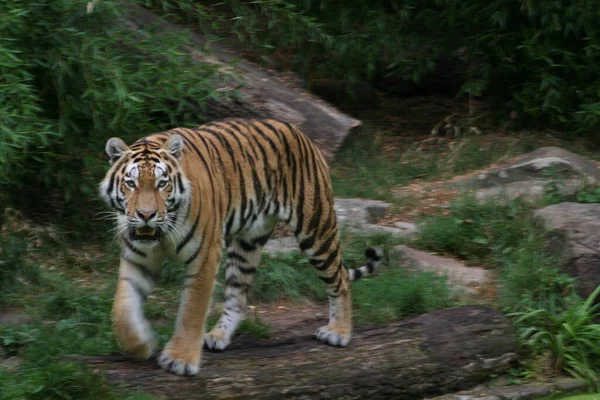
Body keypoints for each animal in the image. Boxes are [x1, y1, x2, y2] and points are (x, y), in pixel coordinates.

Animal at [98, 118, 380, 376]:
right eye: (131, 183)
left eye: (162, 184)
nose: (146, 215)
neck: (160, 233)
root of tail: (300, 132)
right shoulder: (137, 258)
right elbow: (122, 308)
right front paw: (140, 345)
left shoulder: (205, 256)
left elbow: (192, 310)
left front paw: (180, 359)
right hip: (247, 244)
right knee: (238, 296)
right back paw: (218, 336)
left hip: (315, 227)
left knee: (340, 278)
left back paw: (338, 332)